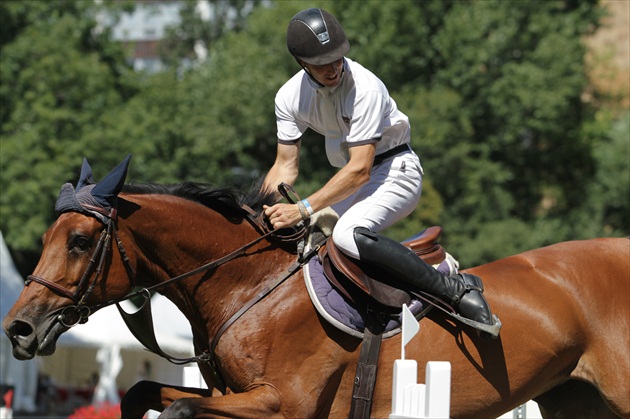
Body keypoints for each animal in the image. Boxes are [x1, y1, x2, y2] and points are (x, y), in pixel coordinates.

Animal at [2, 158, 628, 419]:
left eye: (80, 240)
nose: (20, 329)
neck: (249, 289)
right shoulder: (230, 396)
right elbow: (141, 395)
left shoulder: (283, 404)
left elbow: (178, 409)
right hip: (575, 401)